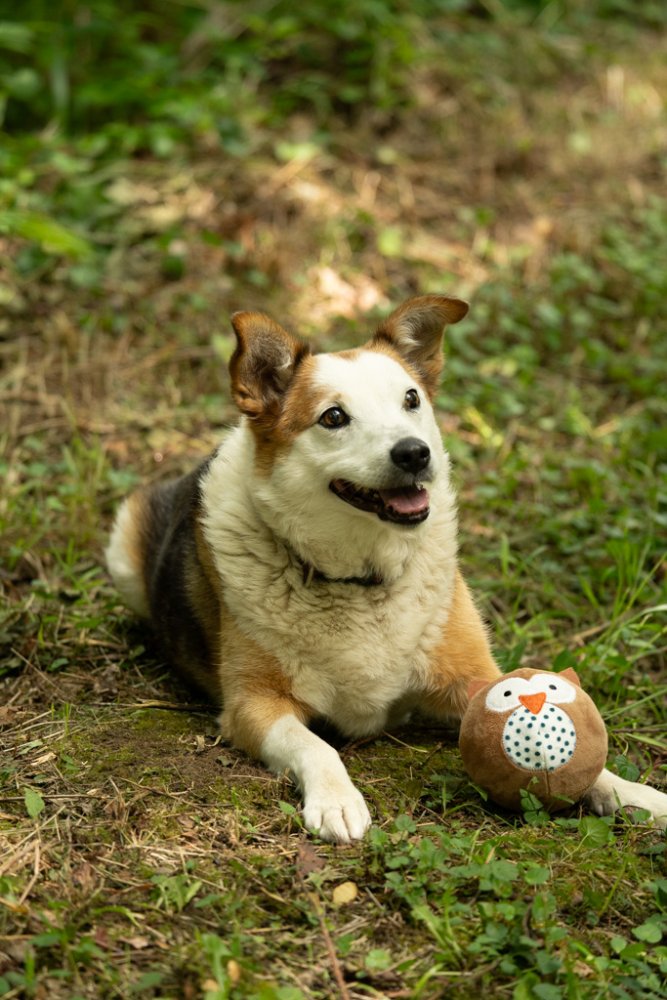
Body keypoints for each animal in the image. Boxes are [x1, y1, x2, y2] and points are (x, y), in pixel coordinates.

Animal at [104, 292, 667, 840]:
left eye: (411, 399)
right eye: (333, 417)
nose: (414, 454)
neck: (361, 576)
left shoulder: (474, 678)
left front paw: (632, 793)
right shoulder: (251, 704)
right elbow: (314, 744)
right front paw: (337, 800)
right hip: (122, 548)